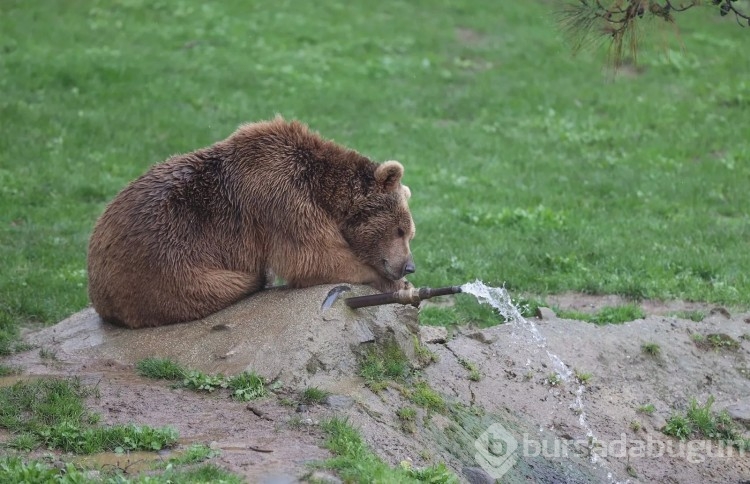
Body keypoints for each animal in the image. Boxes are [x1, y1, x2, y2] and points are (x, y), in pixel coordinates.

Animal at [89, 117, 418, 328]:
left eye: (410, 233)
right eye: (400, 230)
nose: (409, 266)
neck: (322, 189)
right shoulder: (281, 200)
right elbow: (313, 256)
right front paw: (390, 281)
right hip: (167, 267)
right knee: (221, 285)